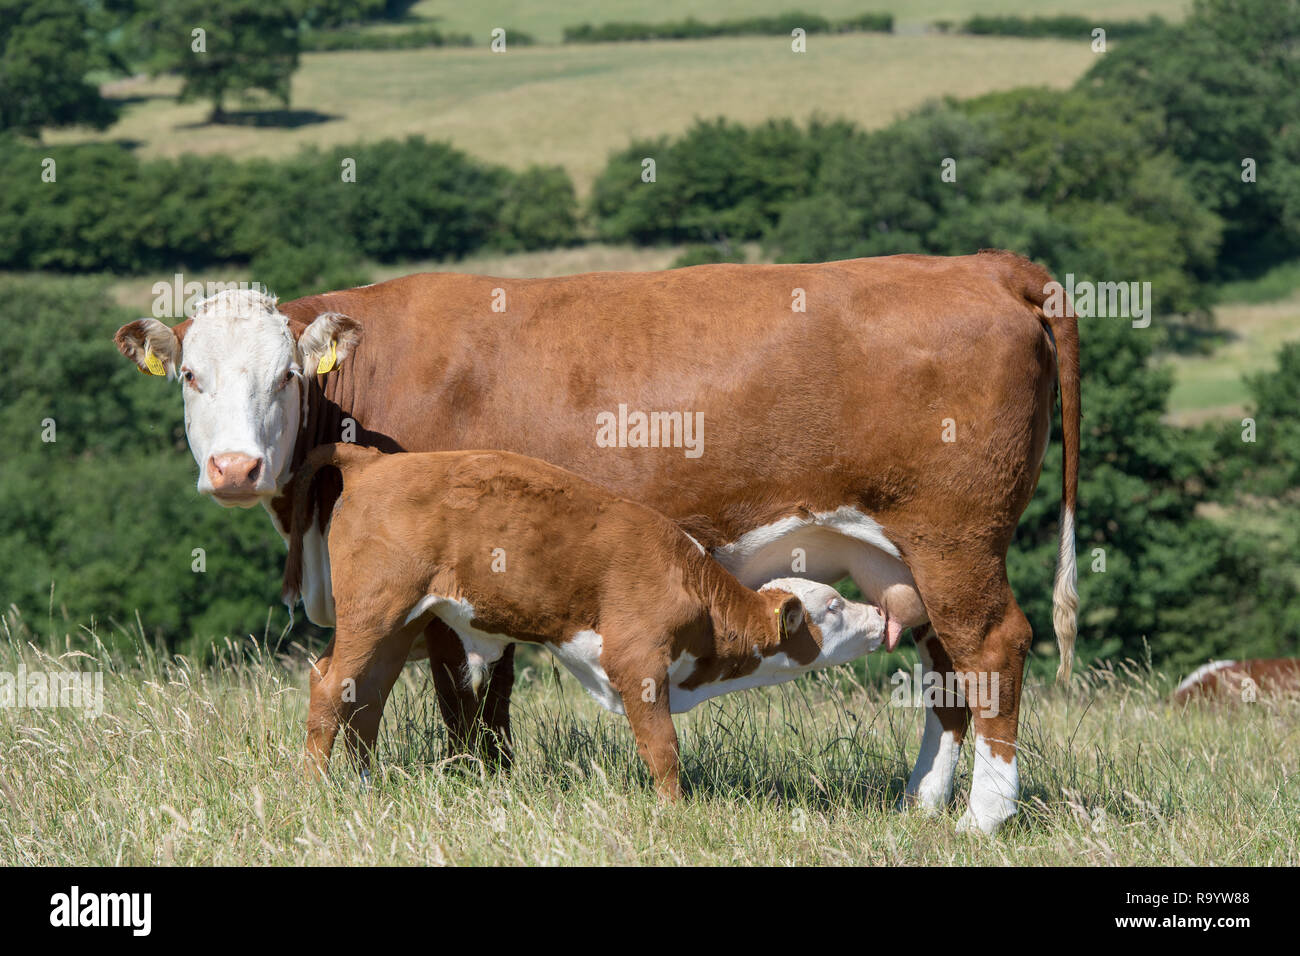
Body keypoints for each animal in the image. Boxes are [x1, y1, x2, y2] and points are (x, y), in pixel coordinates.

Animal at [283, 444, 889, 796]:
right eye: (833, 606)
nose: (882, 614)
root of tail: (375, 459)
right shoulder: (638, 660)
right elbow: (663, 748)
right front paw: (675, 811)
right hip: (376, 609)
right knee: (332, 687)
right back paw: (314, 789)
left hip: (401, 621)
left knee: (363, 692)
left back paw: (363, 786)